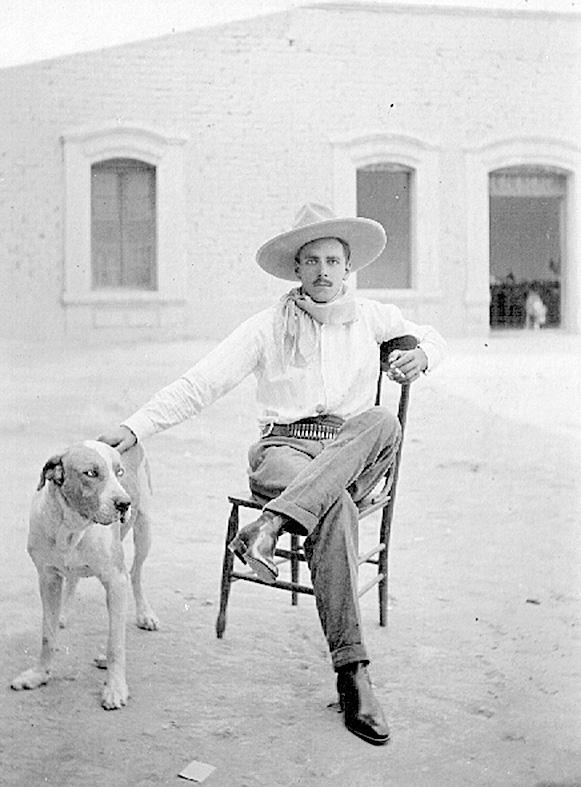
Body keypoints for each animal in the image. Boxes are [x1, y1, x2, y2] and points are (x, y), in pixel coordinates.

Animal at [11, 444, 156, 708]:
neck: (72, 527)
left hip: (144, 530)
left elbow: (115, 644)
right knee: (73, 578)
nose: (124, 503)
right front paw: (40, 674)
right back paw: (64, 612)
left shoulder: (115, 581)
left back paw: (145, 615)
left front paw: (115, 687)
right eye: (90, 473)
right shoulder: (47, 578)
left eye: (119, 472)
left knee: (136, 574)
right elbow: (47, 635)